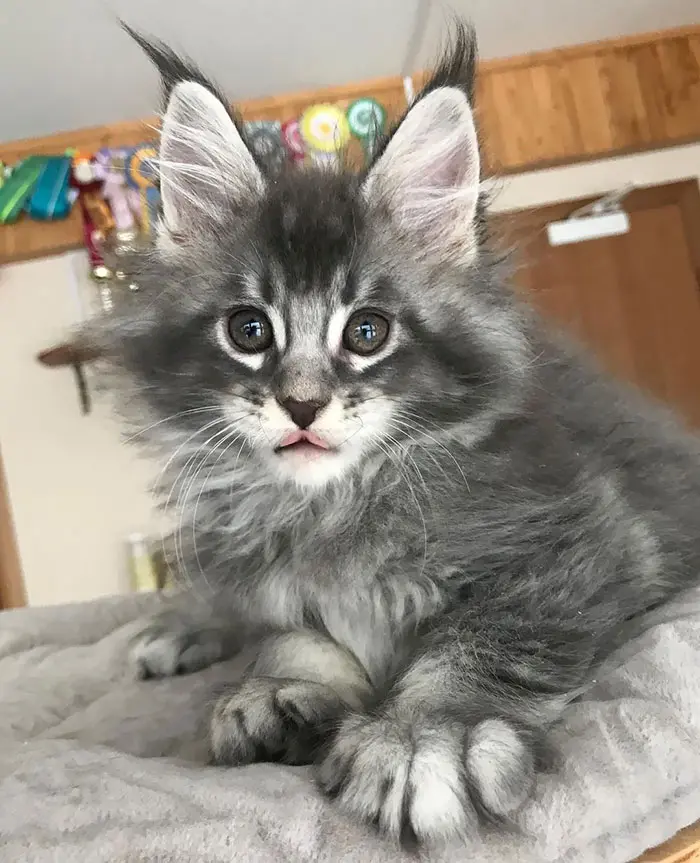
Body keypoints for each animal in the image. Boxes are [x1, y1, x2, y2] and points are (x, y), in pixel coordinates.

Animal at [85, 25, 700, 844]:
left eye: (367, 332)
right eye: (249, 330)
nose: (302, 404)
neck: (333, 507)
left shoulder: (595, 531)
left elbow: (486, 631)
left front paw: (424, 733)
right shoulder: (271, 574)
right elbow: (286, 628)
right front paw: (279, 688)